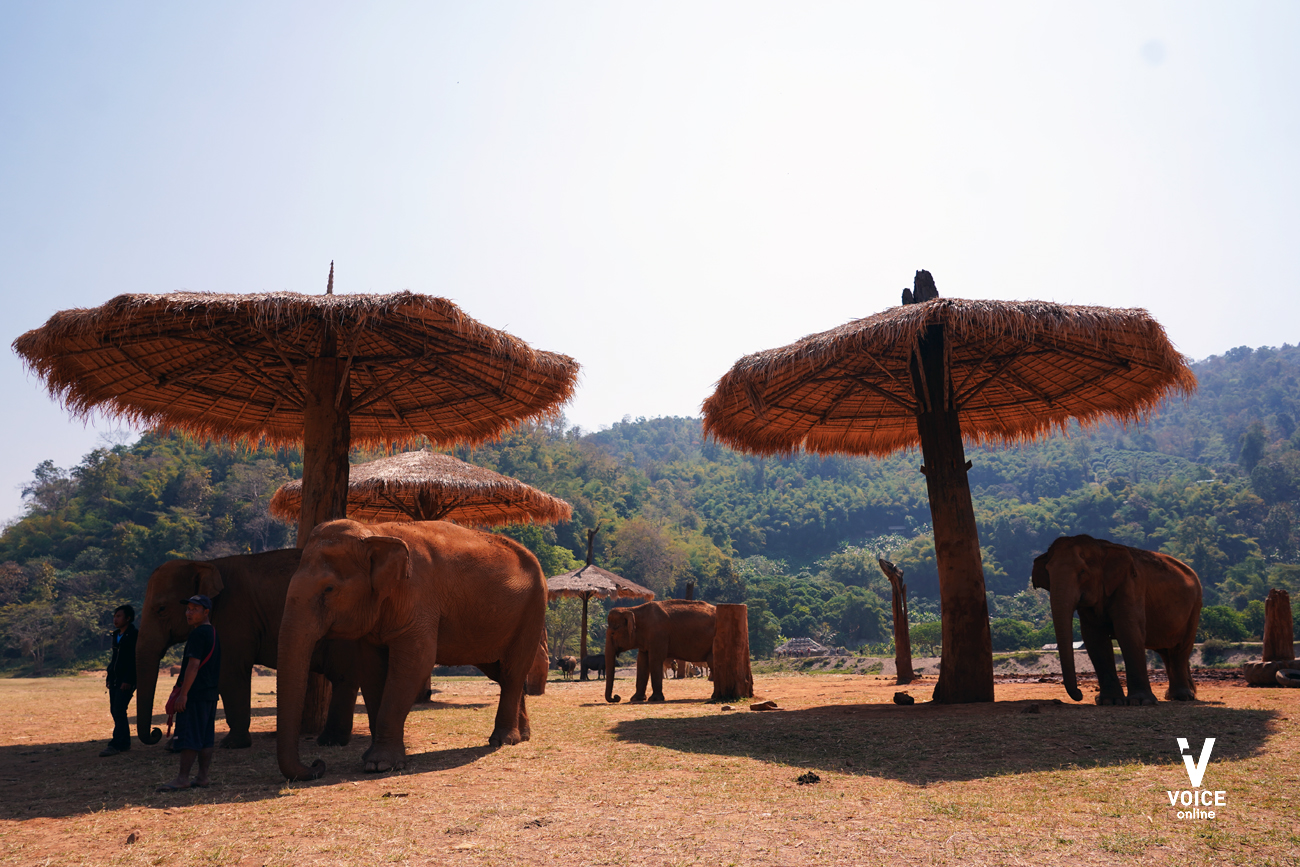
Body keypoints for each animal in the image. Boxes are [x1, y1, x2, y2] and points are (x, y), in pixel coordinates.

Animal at [135, 553, 361, 748]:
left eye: (161, 609)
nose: (156, 733)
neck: (207, 564)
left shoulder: (235, 617)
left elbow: (230, 673)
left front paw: (232, 744)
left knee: (343, 677)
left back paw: (330, 741)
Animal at [276, 519, 546, 785]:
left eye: (329, 589)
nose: (317, 765)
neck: (375, 532)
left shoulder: (419, 598)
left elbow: (416, 662)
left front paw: (380, 765)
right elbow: (371, 669)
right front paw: (371, 759)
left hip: (533, 609)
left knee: (513, 671)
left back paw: (504, 740)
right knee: (500, 672)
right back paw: (523, 735)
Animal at [1029, 535, 1201, 707]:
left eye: (1082, 571)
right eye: (1048, 572)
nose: (1080, 694)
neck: (1101, 547)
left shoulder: (1130, 585)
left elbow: (1128, 631)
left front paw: (1140, 701)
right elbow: (1094, 638)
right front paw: (1109, 700)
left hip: (1195, 607)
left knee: (1180, 649)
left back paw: (1183, 697)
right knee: (1166, 651)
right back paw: (1172, 696)